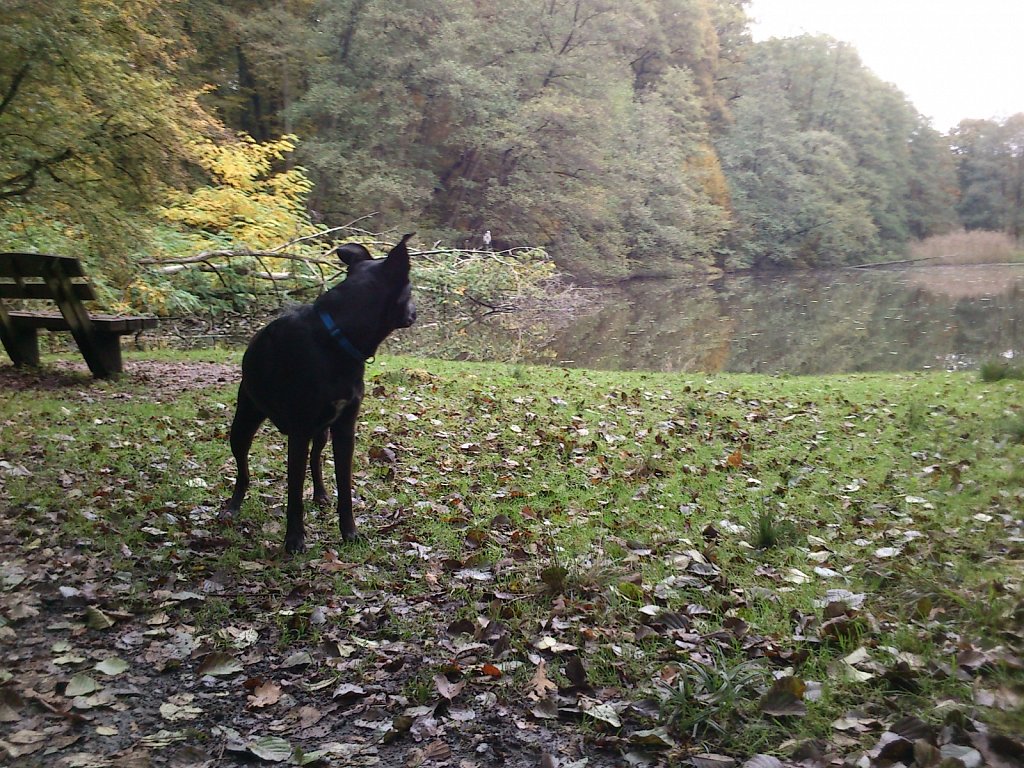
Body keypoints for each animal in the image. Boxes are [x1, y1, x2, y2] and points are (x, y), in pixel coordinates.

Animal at [223, 234, 415, 552]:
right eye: (410, 288)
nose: (416, 311)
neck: (337, 336)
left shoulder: (344, 427)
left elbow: (344, 484)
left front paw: (349, 531)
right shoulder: (299, 431)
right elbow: (293, 492)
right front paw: (294, 538)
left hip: (322, 431)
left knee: (315, 458)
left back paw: (321, 494)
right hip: (244, 423)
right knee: (243, 470)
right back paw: (233, 505)